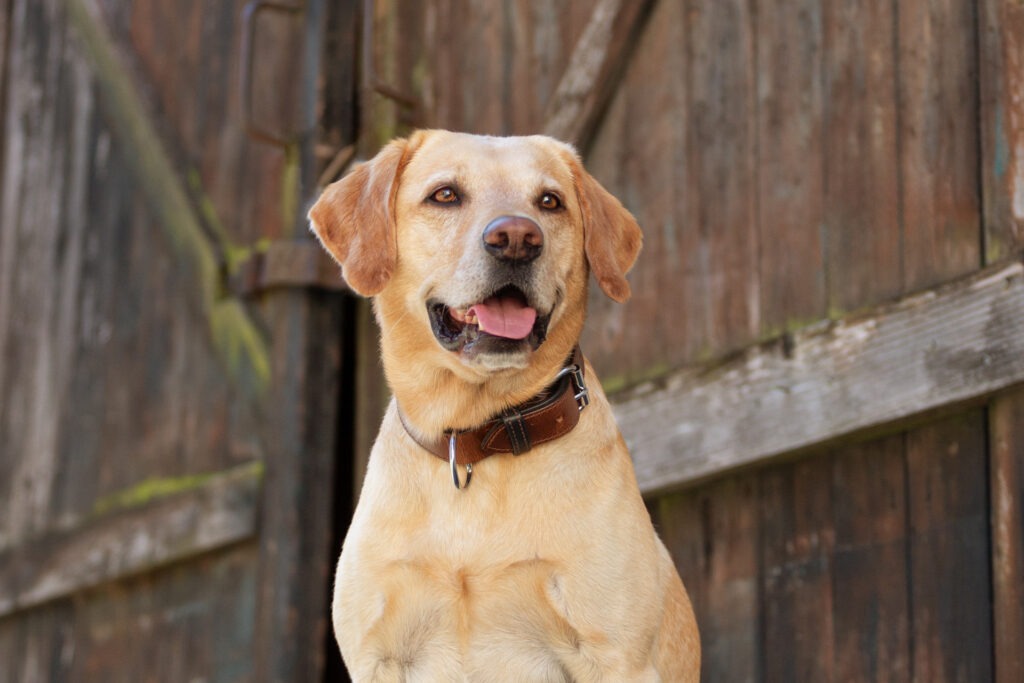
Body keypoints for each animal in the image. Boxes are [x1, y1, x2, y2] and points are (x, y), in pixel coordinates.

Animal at [307, 131, 700, 679]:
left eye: (550, 201)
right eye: (445, 195)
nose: (517, 238)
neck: (476, 436)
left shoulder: (618, 656)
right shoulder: (376, 656)